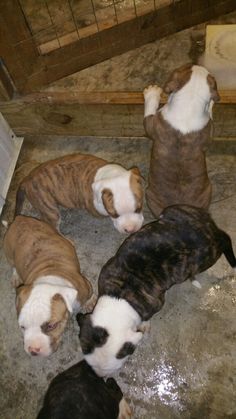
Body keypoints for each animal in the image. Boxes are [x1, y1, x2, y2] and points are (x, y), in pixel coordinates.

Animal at [3, 217, 94, 358]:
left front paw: (90, 303)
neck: (49, 277)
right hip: (9, 254)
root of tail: (19, 219)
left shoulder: (85, 286)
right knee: (13, 265)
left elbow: (90, 295)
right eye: (22, 327)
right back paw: (15, 276)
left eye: (51, 326)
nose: (33, 350)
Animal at [15, 153, 144, 235]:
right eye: (114, 214)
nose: (130, 229)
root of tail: (26, 180)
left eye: (138, 209)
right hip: (49, 209)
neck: (111, 175)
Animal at [76, 206, 235, 378]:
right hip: (172, 211)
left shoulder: (155, 304)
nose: (99, 376)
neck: (120, 298)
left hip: (200, 261)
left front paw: (145, 325)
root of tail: (213, 230)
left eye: (116, 368)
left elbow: (147, 317)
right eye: (90, 364)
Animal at [143, 64, 220, 218]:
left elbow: (149, 109)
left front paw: (152, 92)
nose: (197, 64)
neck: (190, 100)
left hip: (149, 194)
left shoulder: (151, 125)